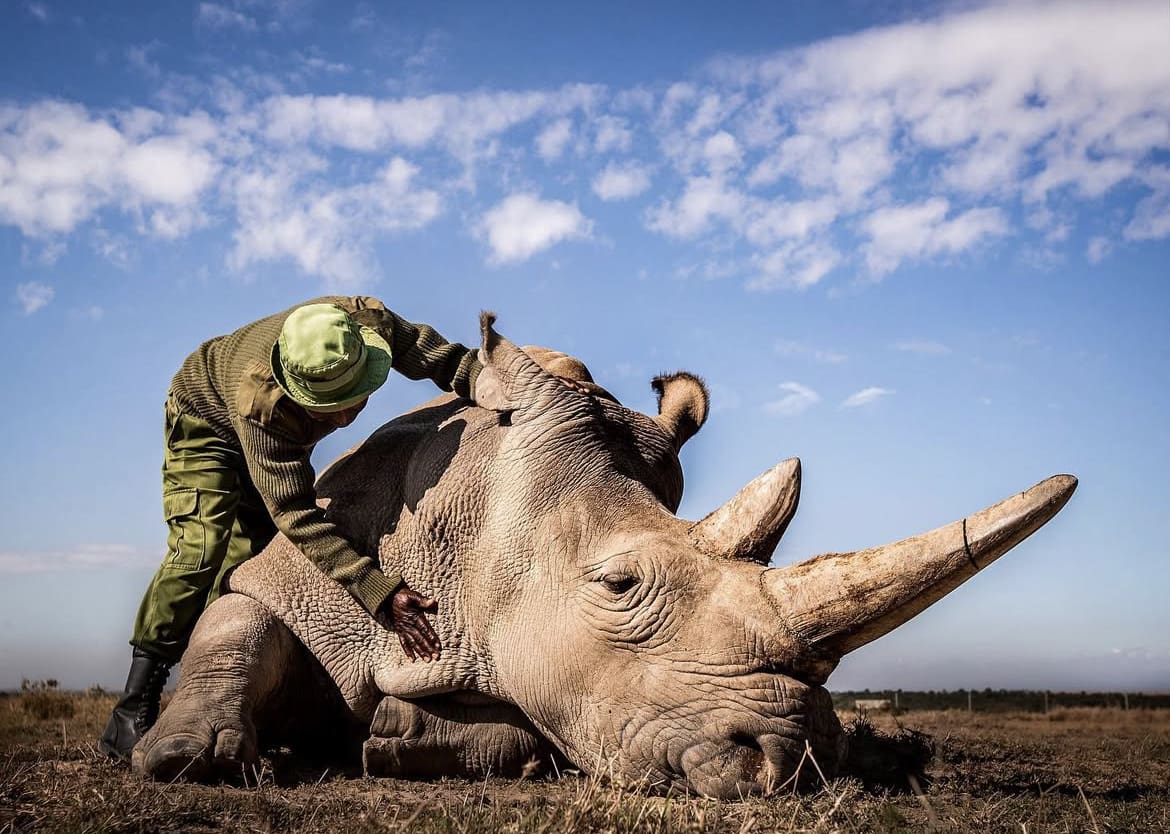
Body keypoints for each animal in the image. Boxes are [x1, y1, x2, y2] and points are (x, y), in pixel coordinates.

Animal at [132, 315, 1071, 795]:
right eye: (621, 585)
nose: (798, 762)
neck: (477, 515)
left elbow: (527, 730)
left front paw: (398, 734)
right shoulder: (317, 554)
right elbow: (237, 616)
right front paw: (183, 759)